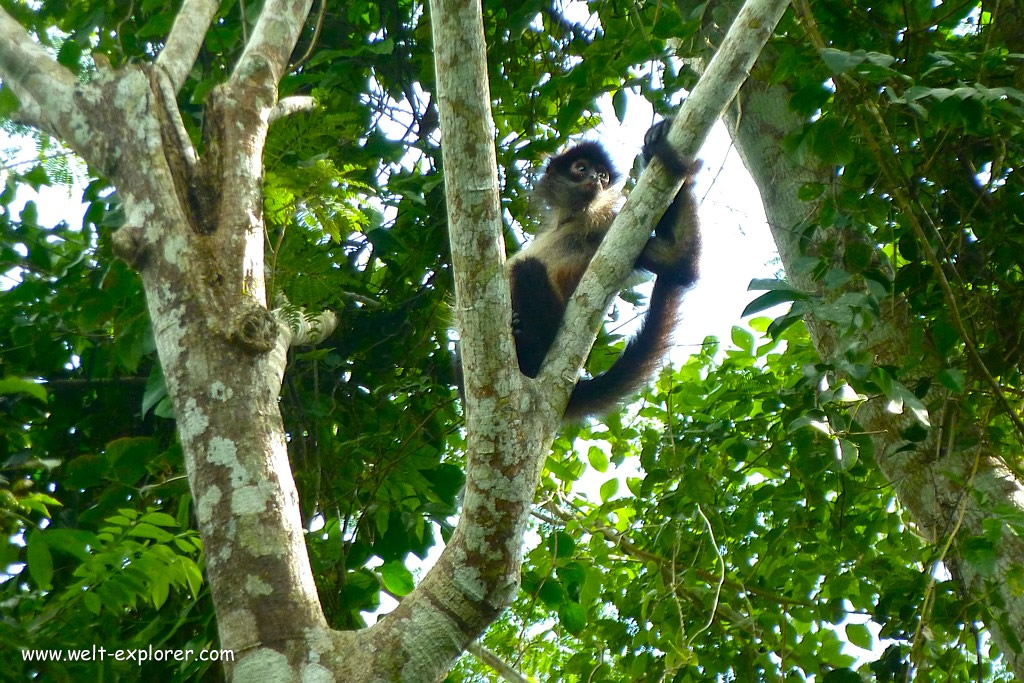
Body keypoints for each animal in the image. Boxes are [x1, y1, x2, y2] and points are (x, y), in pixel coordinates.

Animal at [505, 119, 704, 419]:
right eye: (581, 168)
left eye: (603, 175)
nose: (595, 179)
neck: (572, 220)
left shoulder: (607, 225)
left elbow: (679, 263)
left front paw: (655, 146)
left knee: (527, 267)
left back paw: (529, 347)